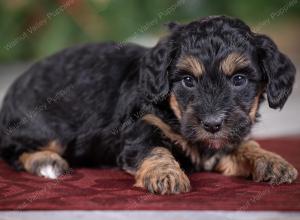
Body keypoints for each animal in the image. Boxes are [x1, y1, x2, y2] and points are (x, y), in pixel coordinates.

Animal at [0, 15, 296, 194]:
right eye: (188, 80)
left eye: (239, 79)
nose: (212, 125)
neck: (175, 113)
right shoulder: (139, 125)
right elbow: (153, 149)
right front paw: (166, 175)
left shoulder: (227, 137)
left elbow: (245, 145)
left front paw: (272, 161)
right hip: (48, 128)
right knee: (13, 150)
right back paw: (47, 162)